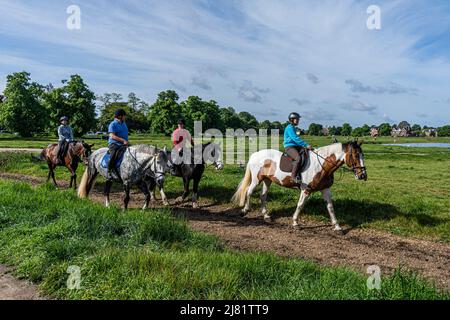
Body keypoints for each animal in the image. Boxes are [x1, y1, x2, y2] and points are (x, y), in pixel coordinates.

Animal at [230, 141, 368, 231]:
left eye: (363, 155)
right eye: (356, 155)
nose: (362, 175)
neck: (322, 165)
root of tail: (255, 154)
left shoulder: (325, 189)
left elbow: (330, 207)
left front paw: (337, 226)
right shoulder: (306, 190)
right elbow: (300, 205)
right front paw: (295, 222)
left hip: (267, 180)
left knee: (263, 196)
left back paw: (266, 216)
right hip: (256, 179)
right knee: (249, 191)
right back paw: (244, 210)